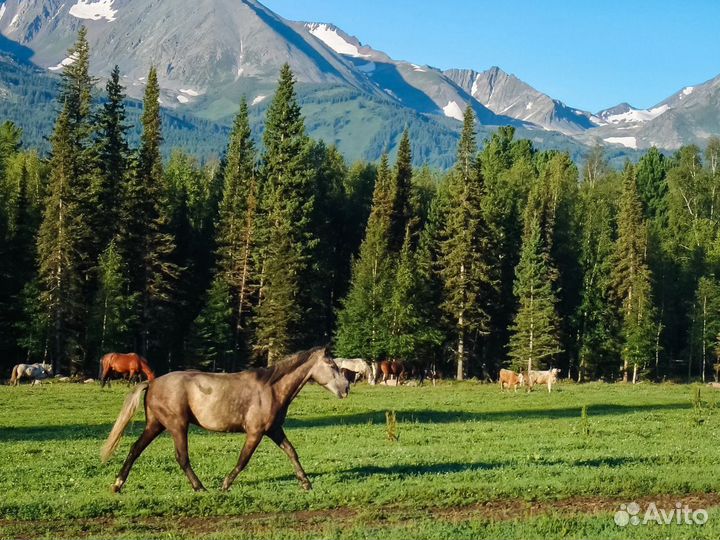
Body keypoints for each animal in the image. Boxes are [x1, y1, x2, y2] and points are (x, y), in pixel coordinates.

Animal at [101, 346, 348, 494]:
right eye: (332, 365)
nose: (346, 388)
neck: (271, 388)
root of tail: (152, 383)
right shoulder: (256, 432)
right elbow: (243, 460)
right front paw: (225, 484)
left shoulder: (274, 430)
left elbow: (292, 452)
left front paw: (306, 483)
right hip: (176, 425)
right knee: (181, 457)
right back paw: (200, 487)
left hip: (155, 424)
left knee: (135, 449)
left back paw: (117, 485)